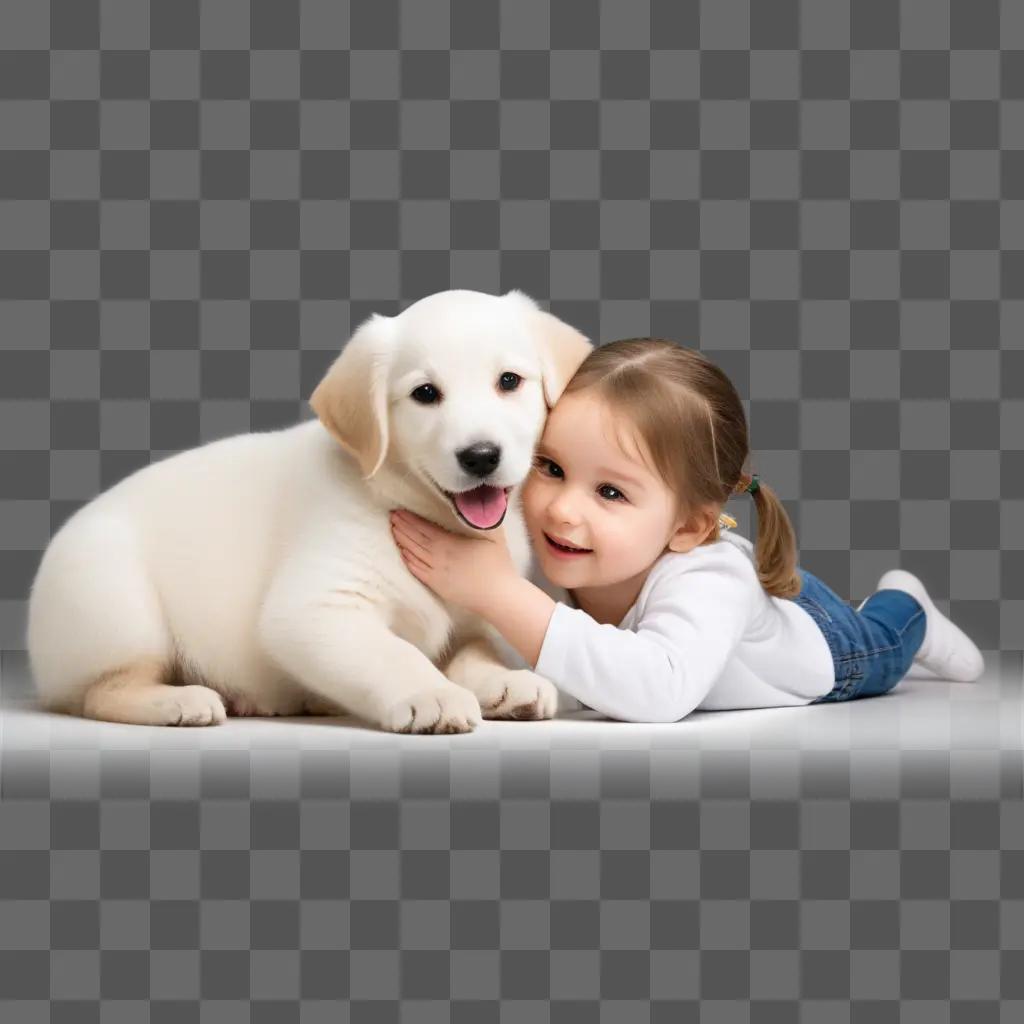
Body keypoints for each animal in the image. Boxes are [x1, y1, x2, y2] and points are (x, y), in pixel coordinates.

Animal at [28, 292, 593, 733]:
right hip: (121, 605)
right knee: (100, 692)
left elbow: (477, 652)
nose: (480, 456)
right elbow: (395, 653)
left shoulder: (472, 620)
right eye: (425, 394)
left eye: (509, 381)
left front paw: (505, 683)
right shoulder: (315, 607)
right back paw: (180, 700)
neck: (406, 503)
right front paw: (429, 693)